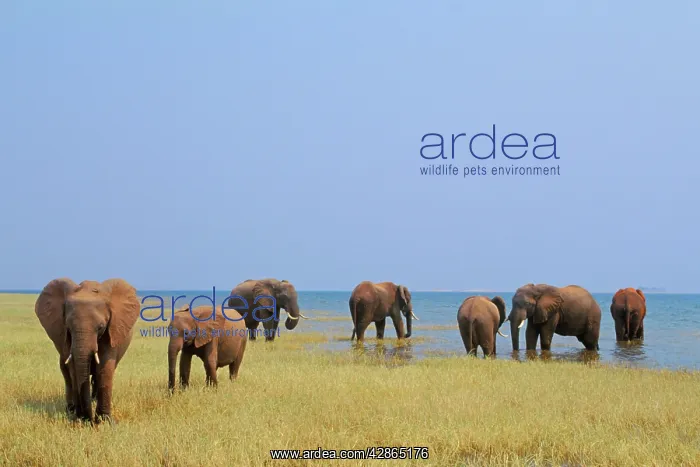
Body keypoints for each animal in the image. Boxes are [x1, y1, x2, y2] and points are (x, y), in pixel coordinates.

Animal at [34, 277, 140, 424]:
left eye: (101, 327)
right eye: (68, 327)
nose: (88, 419)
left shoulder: (112, 330)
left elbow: (105, 367)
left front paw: (105, 421)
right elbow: (73, 368)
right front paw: (79, 419)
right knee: (66, 374)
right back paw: (70, 409)